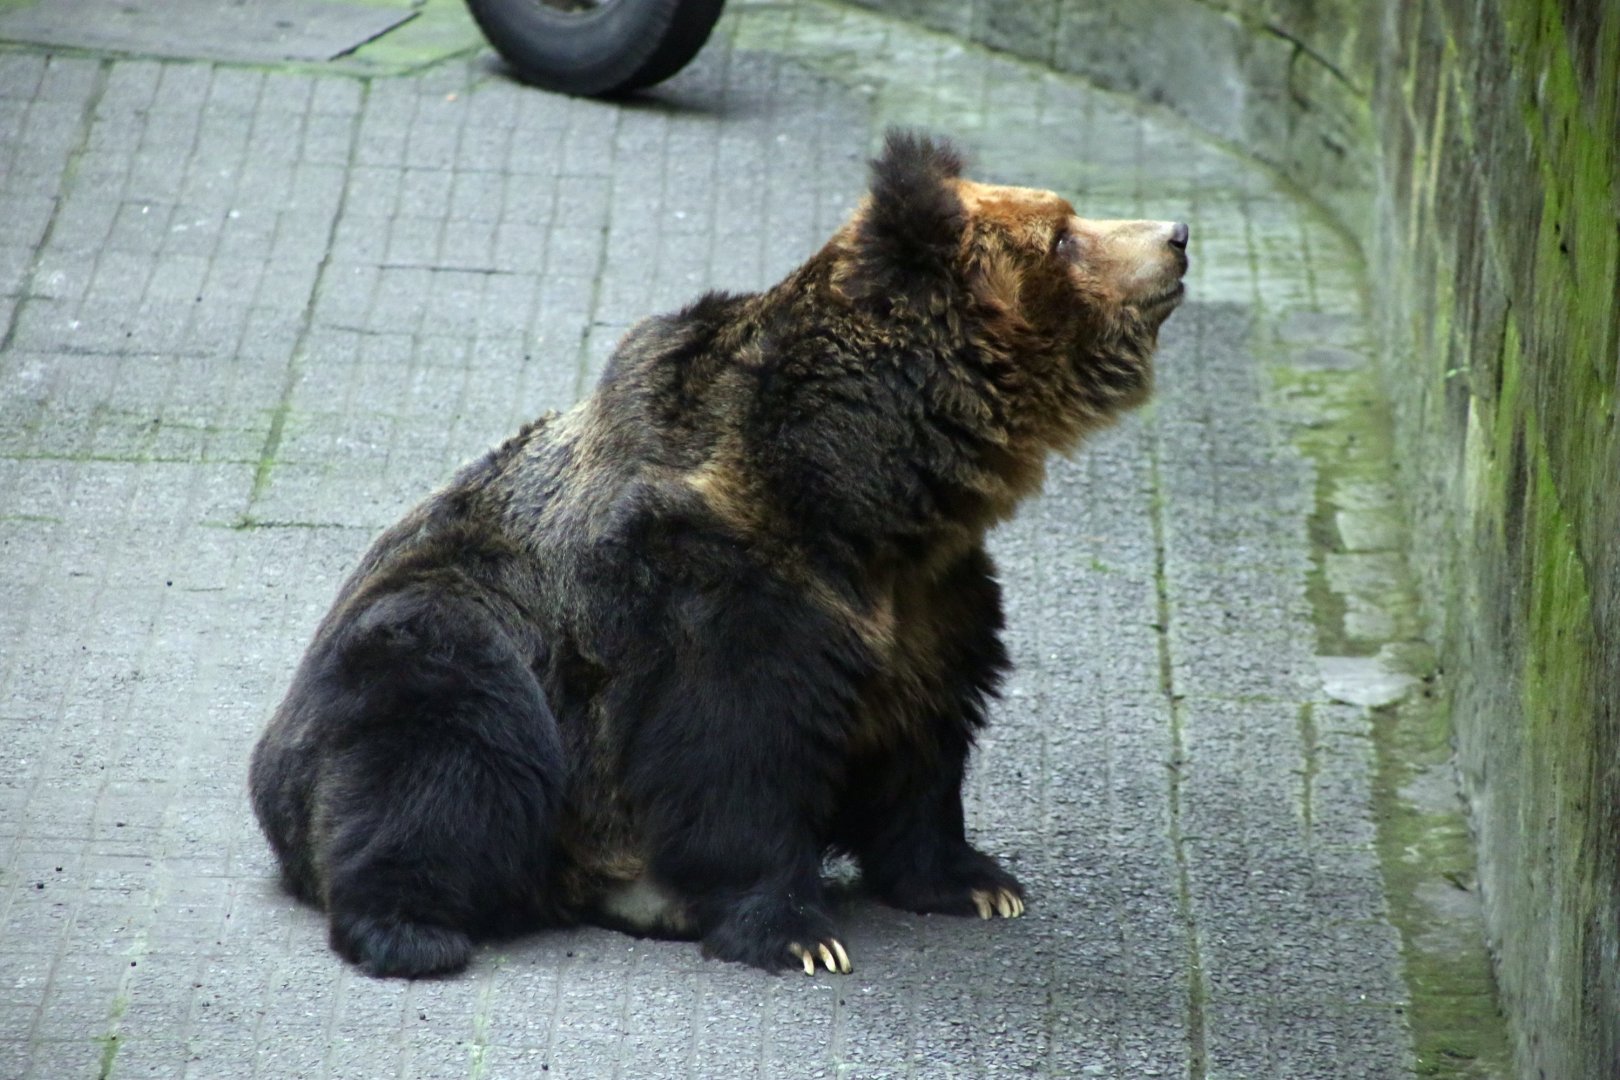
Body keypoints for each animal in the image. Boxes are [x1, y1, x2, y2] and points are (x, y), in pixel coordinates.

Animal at [248, 130, 1189, 979]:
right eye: (1063, 232)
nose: (1176, 234)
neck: (860, 490)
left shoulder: (931, 597)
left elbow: (924, 738)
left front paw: (976, 881)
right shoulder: (715, 588)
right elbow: (735, 752)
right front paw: (797, 932)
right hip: (452, 644)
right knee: (439, 736)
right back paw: (412, 928)